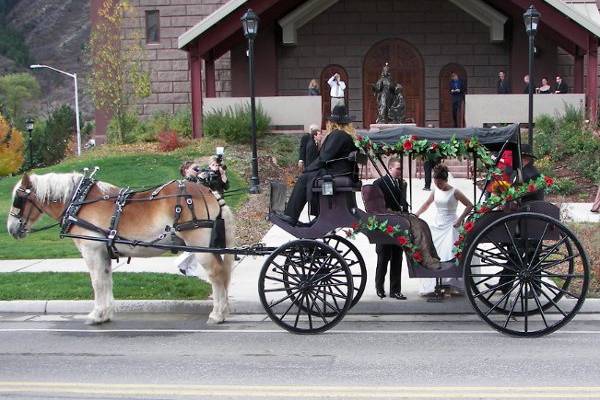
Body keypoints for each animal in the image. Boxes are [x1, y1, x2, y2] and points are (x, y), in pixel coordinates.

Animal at [7, 172, 237, 324]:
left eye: (18, 198)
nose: (11, 229)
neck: (79, 202)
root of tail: (210, 193)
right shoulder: (103, 253)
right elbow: (107, 280)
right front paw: (106, 313)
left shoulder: (92, 252)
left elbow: (97, 282)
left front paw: (96, 315)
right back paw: (223, 311)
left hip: (199, 244)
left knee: (216, 274)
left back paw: (217, 314)